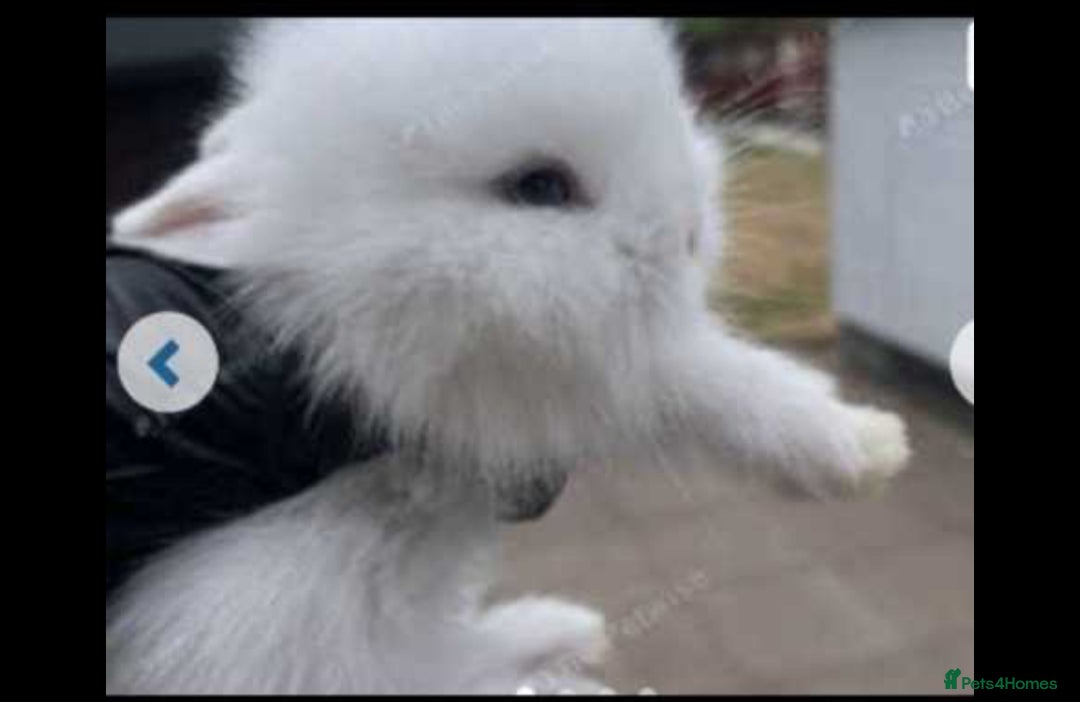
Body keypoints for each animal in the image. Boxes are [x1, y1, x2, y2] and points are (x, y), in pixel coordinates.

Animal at [105, 19, 911, 695]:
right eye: (540, 186)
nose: (688, 232)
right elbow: (705, 378)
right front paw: (866, 447)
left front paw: (872, 444)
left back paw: (567, 630)